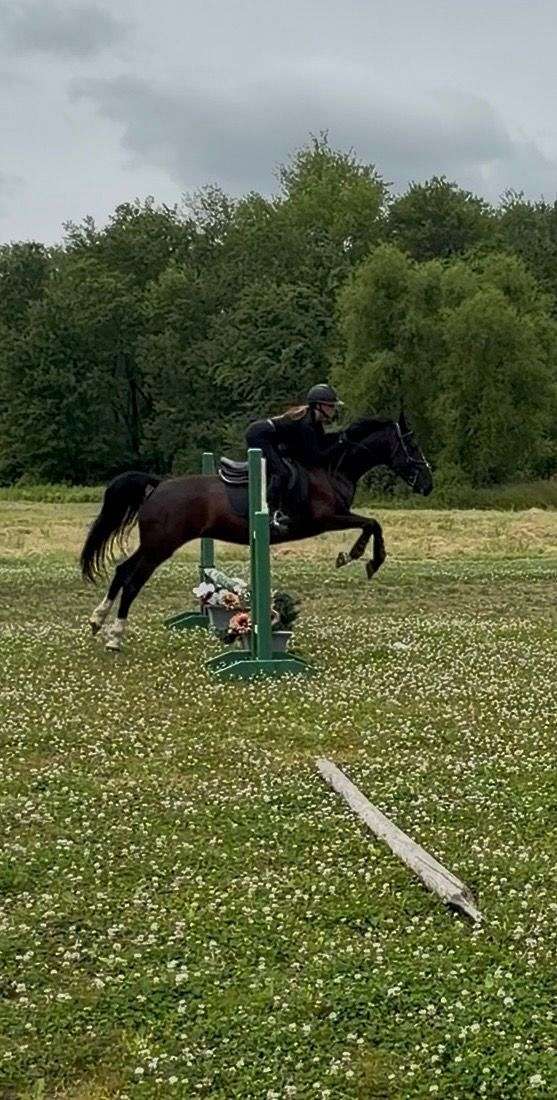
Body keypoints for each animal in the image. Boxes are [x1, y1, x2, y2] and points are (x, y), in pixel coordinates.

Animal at [81, 411, 432, 650]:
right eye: (412, 445)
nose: (428, 484)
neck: (333, 467)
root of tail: (158, 485)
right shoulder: (328, 518)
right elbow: (371, 523)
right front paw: (364, 558)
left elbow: (371, 523)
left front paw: (359, 557)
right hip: (161, 545)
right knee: (133, 580)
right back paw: (115, 637)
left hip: (154, 543)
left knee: (122, 570)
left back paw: (98, 621)